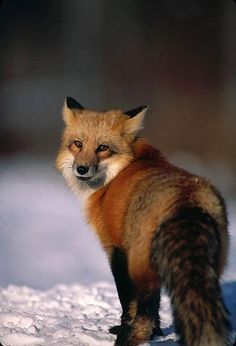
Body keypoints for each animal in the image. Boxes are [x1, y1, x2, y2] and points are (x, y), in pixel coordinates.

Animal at [56, 97, 231, 346]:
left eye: (103, 148)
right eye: (78, 144)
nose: (81, 168)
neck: (118, 173)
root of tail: (186, 197)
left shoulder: (117, 249)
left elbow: (127, 302)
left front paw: (123, 329)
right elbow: (156, 308)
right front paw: (158, 333)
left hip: (140, 267)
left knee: (144, 315)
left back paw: (128, 339)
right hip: (211, 269)